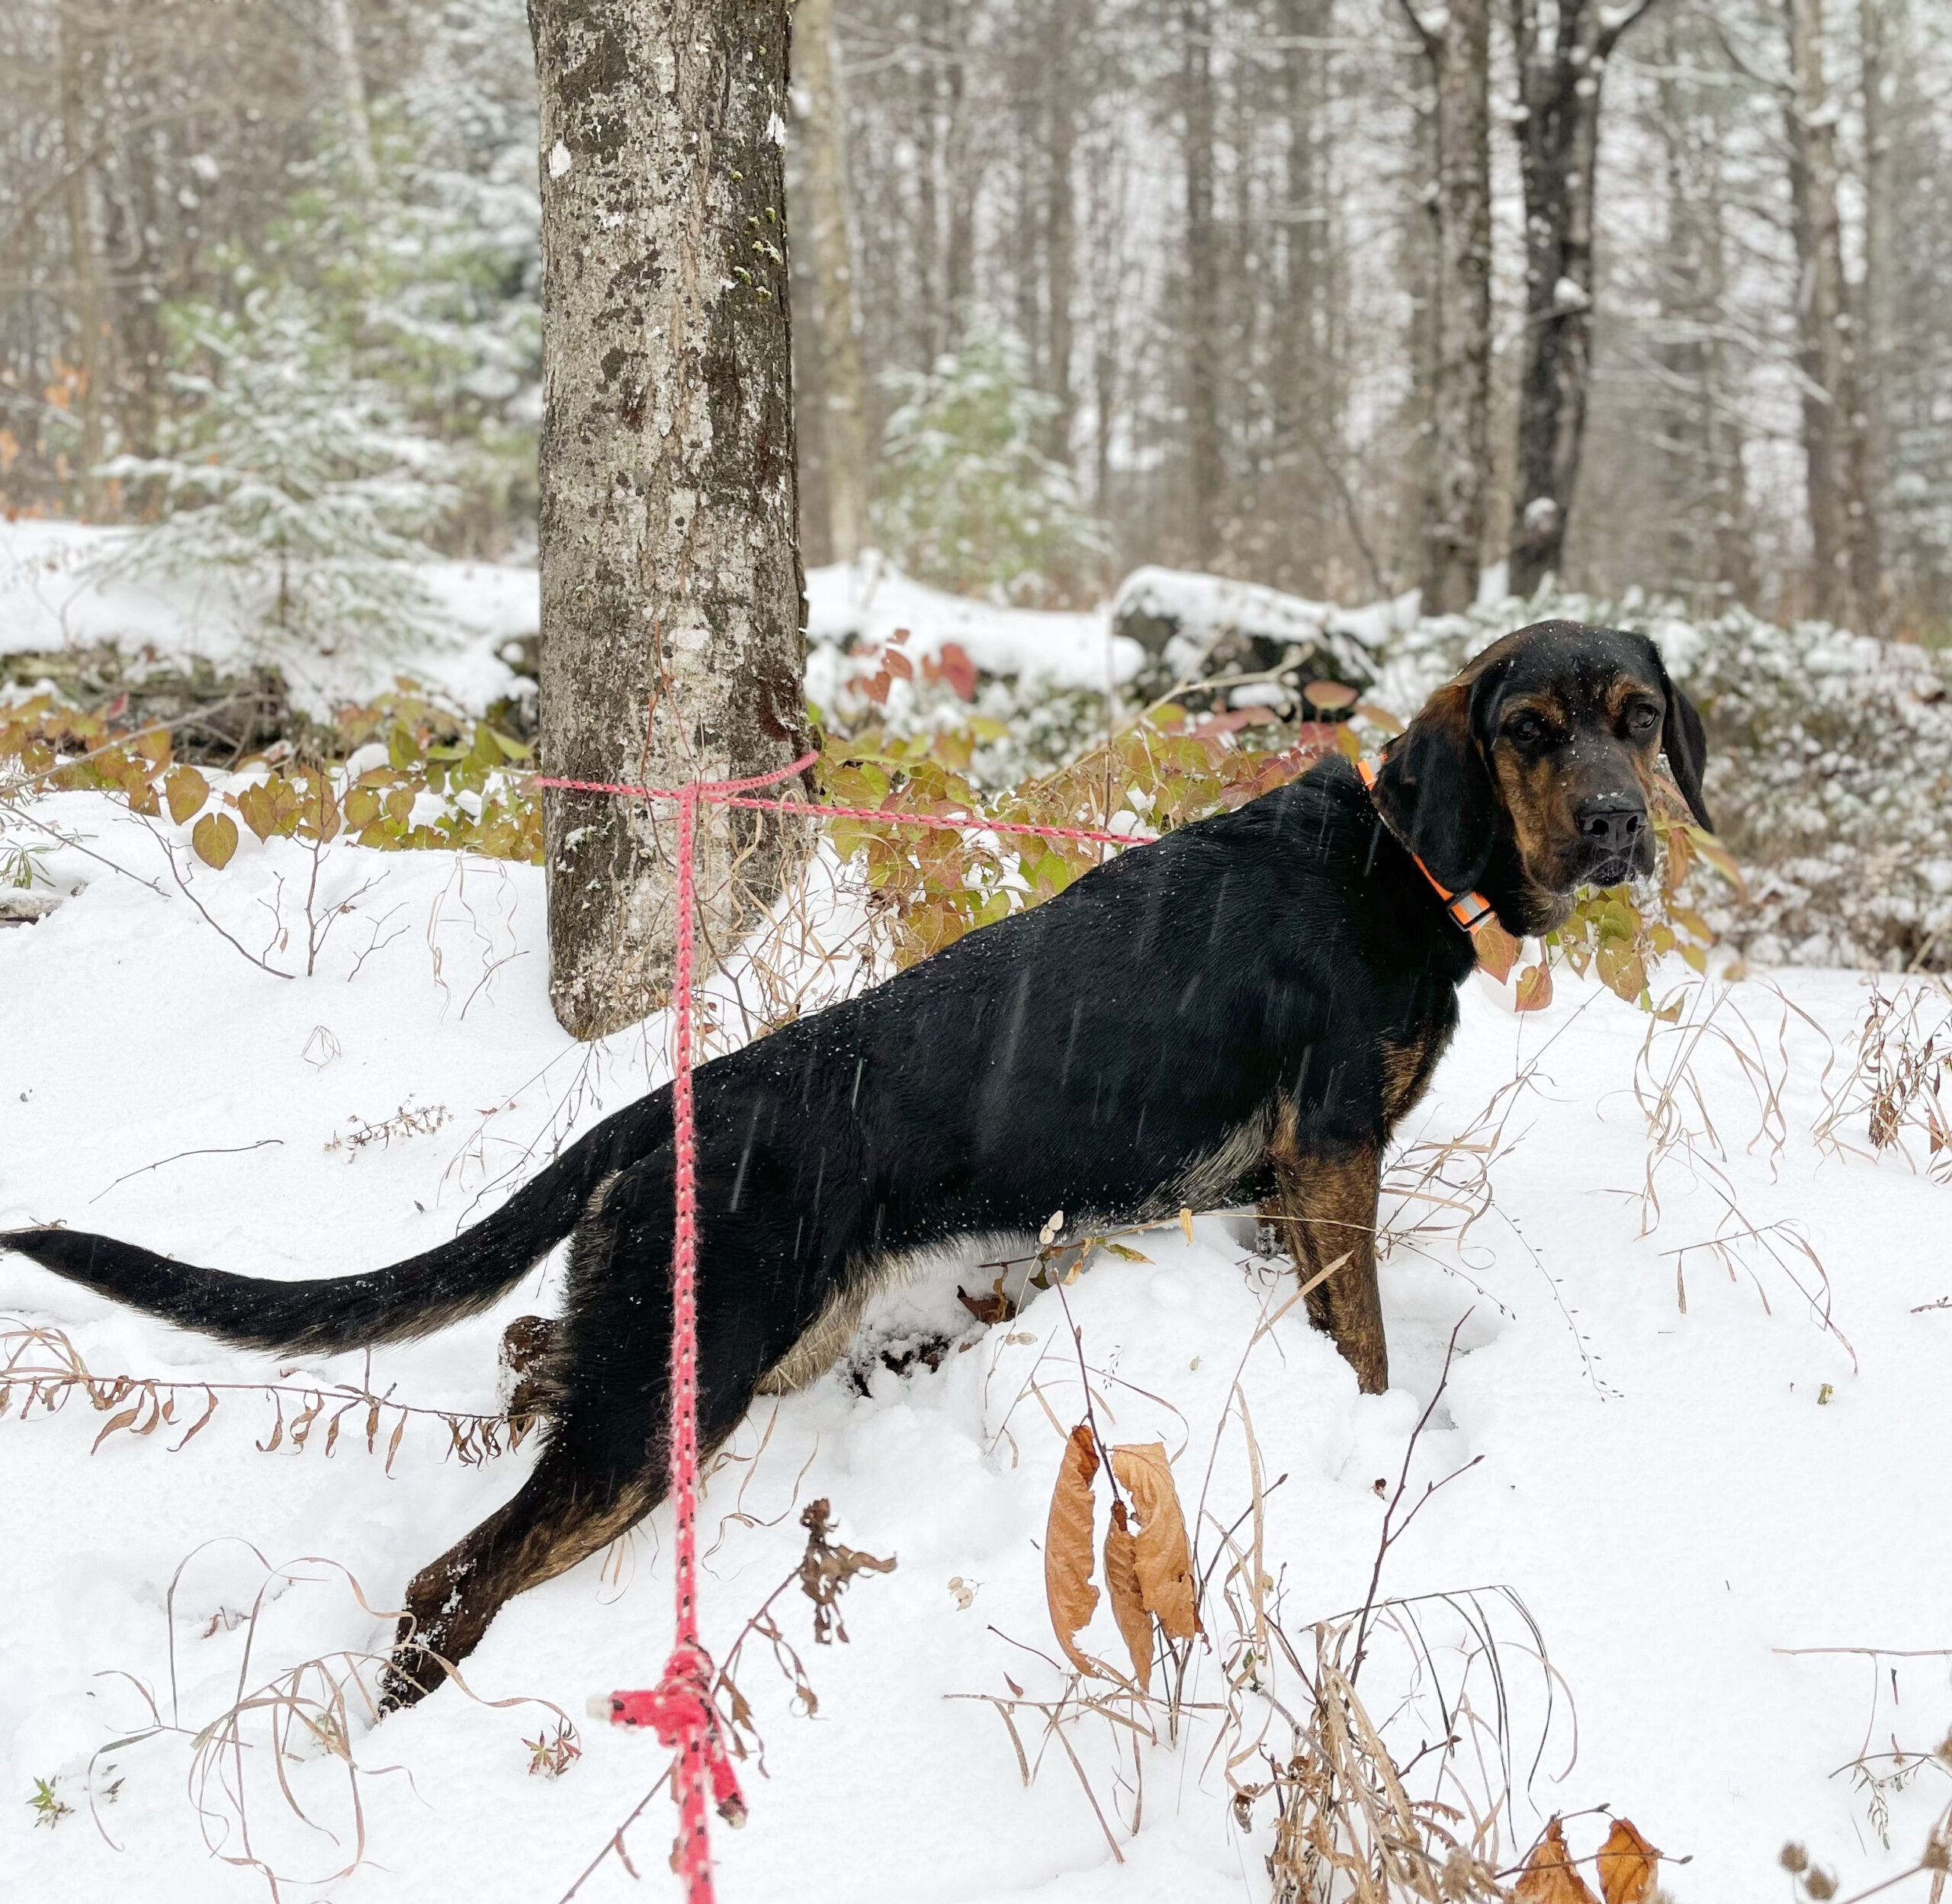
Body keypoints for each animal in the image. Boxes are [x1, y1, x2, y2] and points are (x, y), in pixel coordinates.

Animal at [0, 617, 1710, 1703]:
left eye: (1636, 721)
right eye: (1529, 733)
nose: (1621, 823)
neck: (1401, 858)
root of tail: (661, 1108)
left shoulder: (1261, 1194)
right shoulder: (1334, 1158)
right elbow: (1363, 1349)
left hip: (706, 1346)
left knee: (529, 1350)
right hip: (672, 1406)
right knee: (449, 1581)